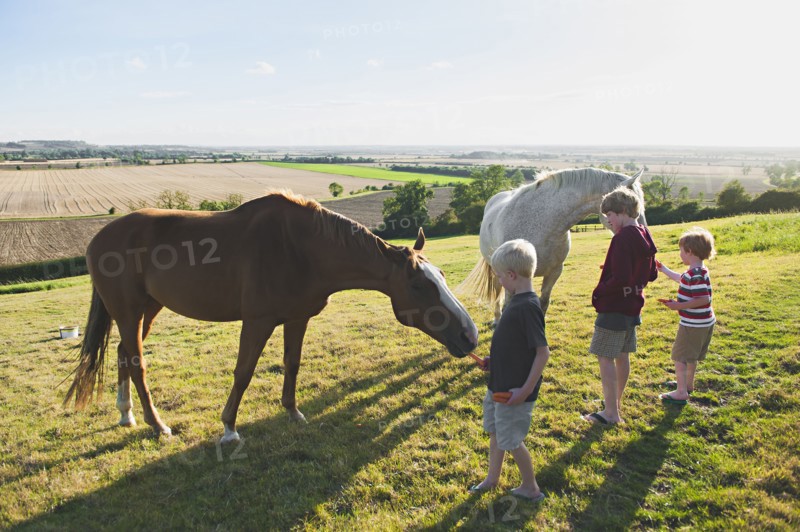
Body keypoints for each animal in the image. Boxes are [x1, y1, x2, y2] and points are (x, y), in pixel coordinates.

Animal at [65, 192, 478, 443]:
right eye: (420, 286)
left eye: (441, 277)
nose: (470, 336)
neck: (300, 248)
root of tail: (99, 240)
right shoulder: (258, 321)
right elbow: (244, 372)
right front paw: (229, 428)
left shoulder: (297, 319)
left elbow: (292, 364)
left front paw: (293, 412)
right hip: (129, 311)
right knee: (136, 362)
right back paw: (158, 424)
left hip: (147, 309)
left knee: (123, 353)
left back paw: (126, 415)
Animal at [459, 168, 646, 322]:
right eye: (630, 209)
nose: (642, 240)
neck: (544, 224)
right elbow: (508, 305)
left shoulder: (554, 272)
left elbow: (543, 303)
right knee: (497, 295)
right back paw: (497, 320)